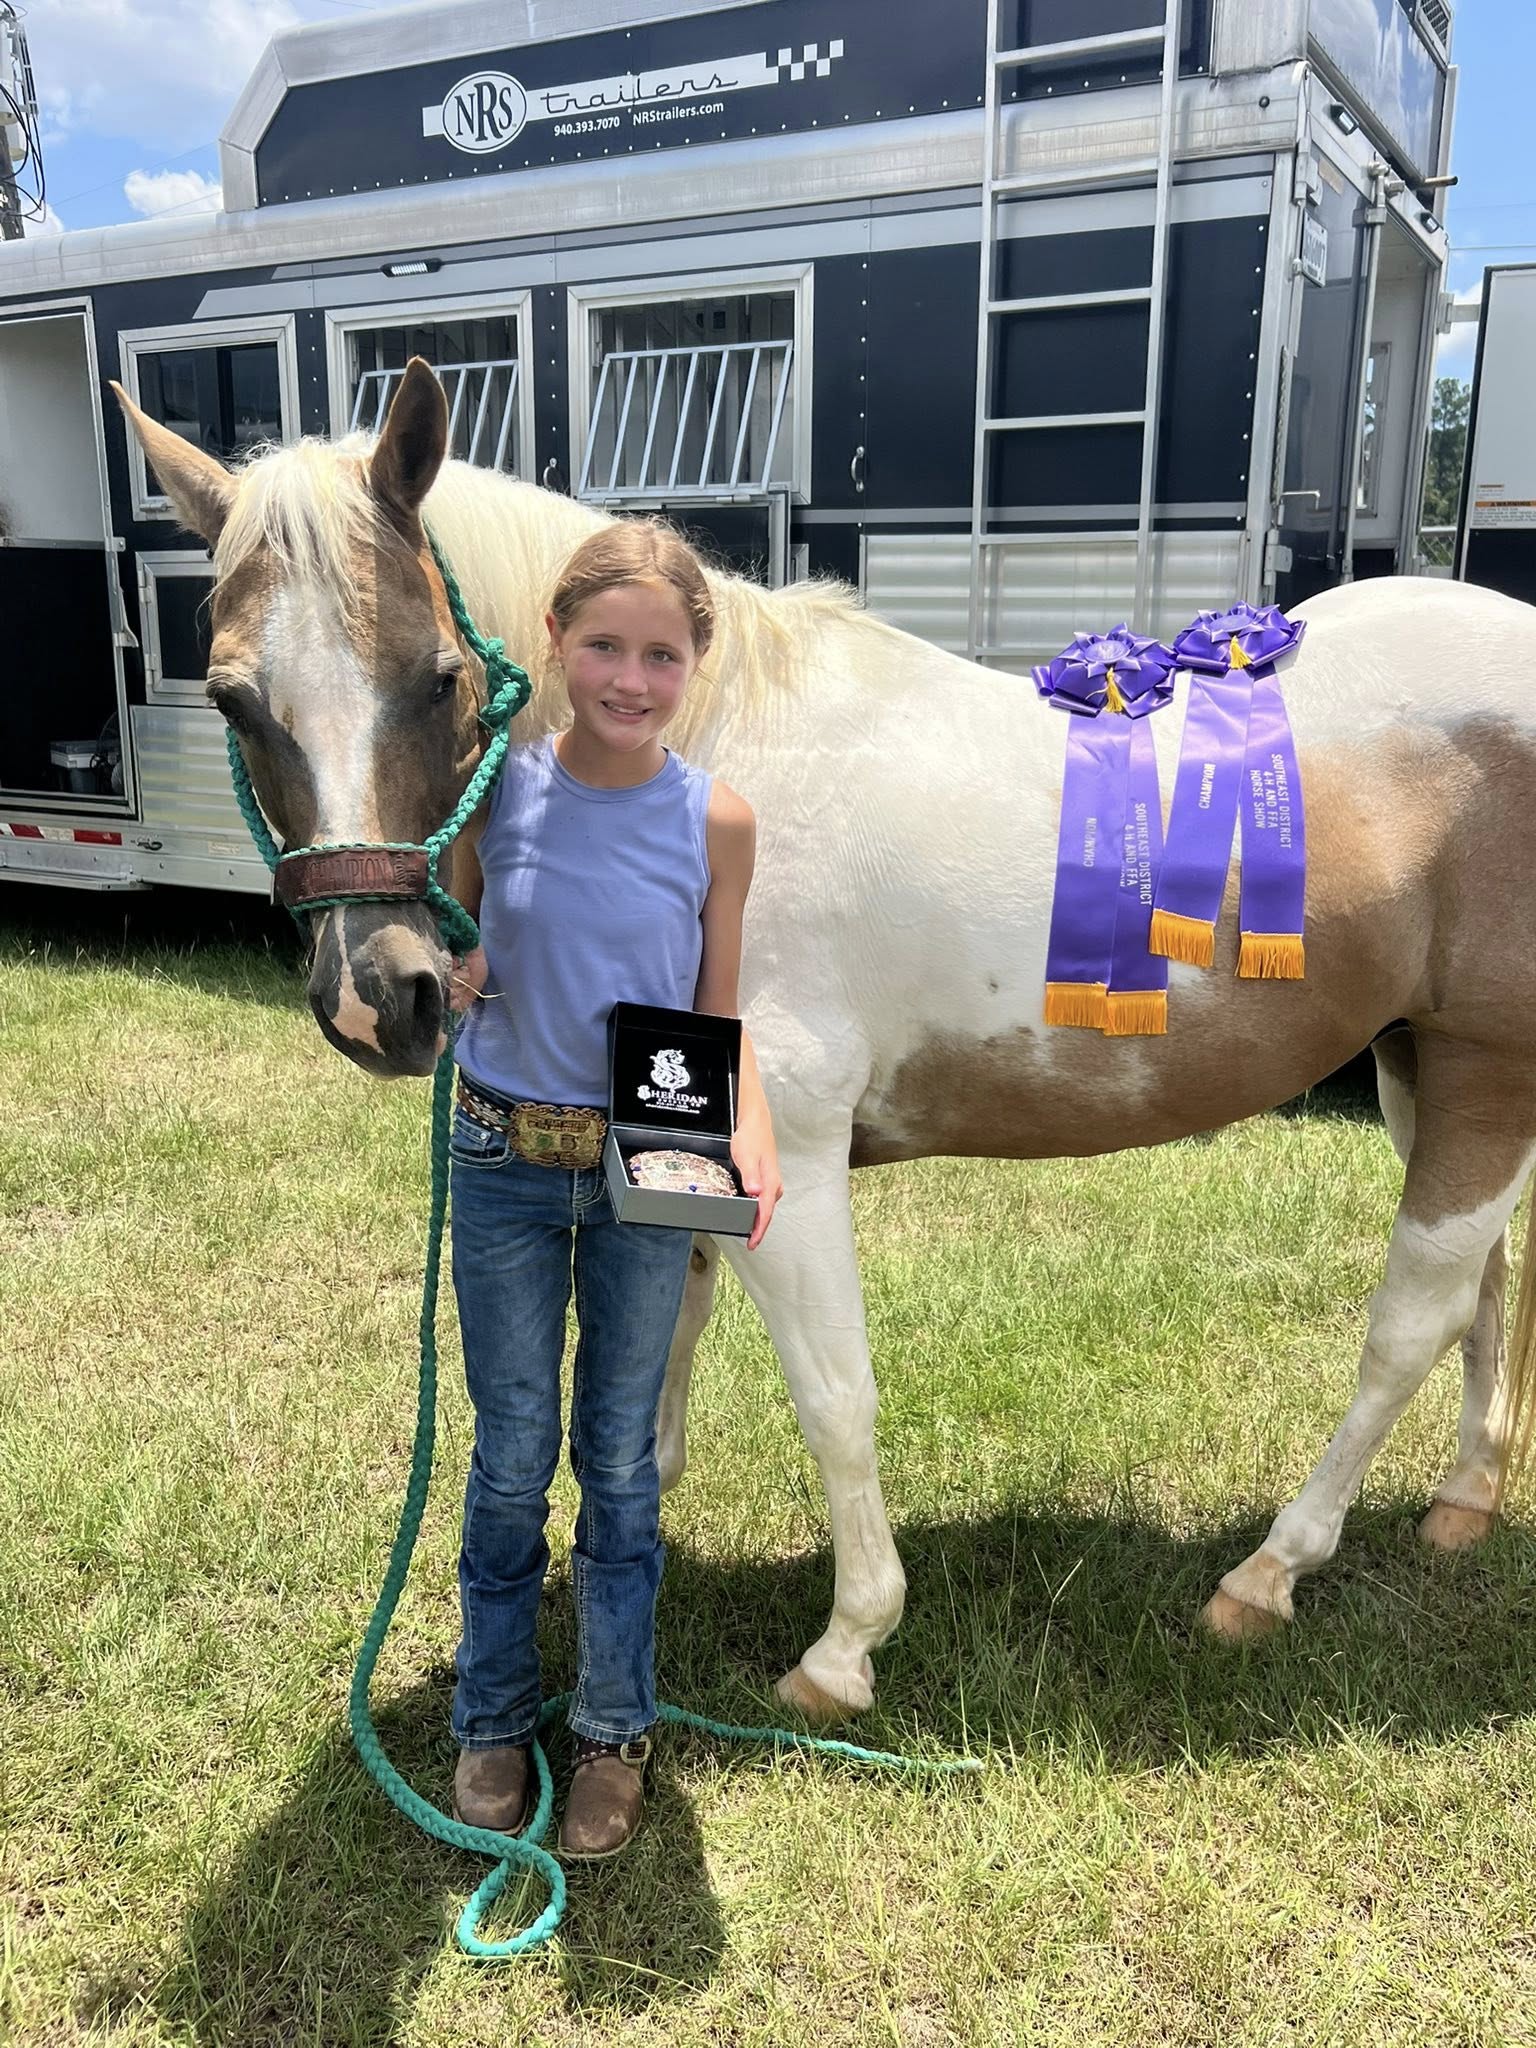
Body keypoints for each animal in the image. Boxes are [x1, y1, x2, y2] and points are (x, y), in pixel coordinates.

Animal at [113, 359, 1536, 1722]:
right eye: (233, 701)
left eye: (440, 676)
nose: (381, 994)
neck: (704, 765)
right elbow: (657, 1367)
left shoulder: (787, 1159)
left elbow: (834, 1394)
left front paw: (847, 1646)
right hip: (1420, 1061)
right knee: (1486, 1281)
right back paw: (1462, 1499)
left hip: (1483, 1069)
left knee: (1411, 1318)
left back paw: (1268, 1570)